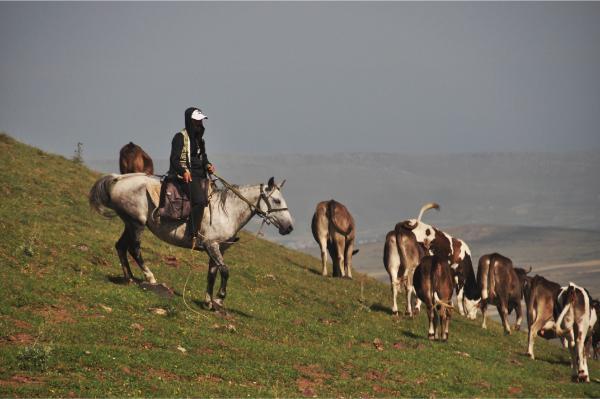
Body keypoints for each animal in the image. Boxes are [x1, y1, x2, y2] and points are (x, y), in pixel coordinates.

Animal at [88, 174, 292, 310]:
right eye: (276, 200)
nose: (289, 227)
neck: (227, 211)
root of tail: (118, 179)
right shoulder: (212, 245)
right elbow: (225, 271)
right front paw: (219, 299)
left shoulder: (217, 250)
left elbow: (212, 274)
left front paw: (208, 302)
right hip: (136, 224)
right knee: (134, 249)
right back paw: (149, 277)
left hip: (129, 223)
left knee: (121, 247)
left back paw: (129, 278)